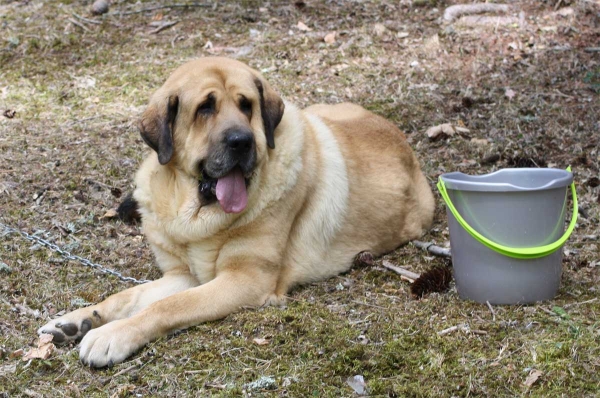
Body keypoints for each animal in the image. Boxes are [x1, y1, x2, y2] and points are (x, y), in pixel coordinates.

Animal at [37, 56, 434, 366]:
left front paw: (112, 335)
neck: (194, 214)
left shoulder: (243, 279)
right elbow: (128, 296)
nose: (242, 141)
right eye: (205, 108)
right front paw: (77, 320)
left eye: (247, 105)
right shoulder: (184, 275)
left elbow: (169, 307)